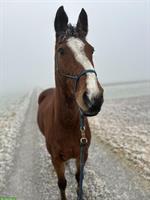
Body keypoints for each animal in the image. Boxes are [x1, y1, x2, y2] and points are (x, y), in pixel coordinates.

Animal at [37, 5, 103, 199]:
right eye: (61, 51)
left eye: (91, 50)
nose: (94, 98)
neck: (66, 124)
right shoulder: (56, 158)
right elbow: (62, 183)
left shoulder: (83, 154)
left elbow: (79, 178)